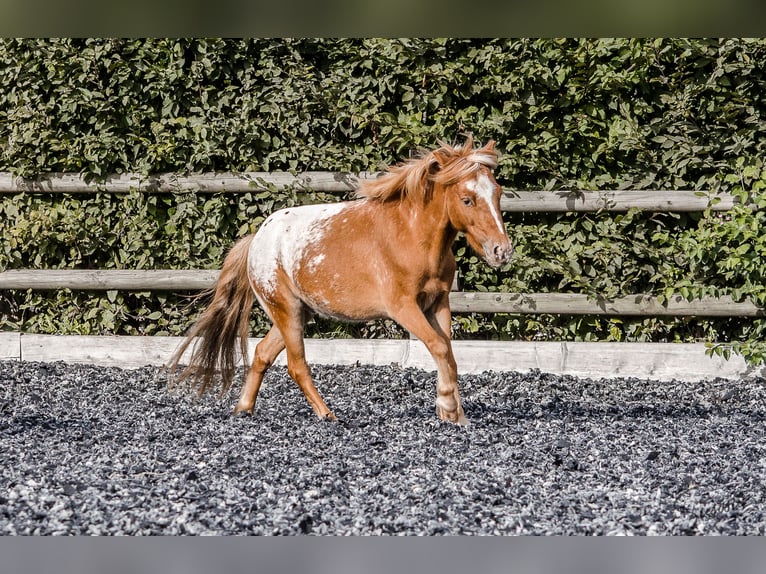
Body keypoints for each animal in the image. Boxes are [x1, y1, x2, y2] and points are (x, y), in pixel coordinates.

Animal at [169, 137, 516, 428]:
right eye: (467, 199)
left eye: (497, 193)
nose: (502, 251)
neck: (412, 235)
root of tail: (256, 240)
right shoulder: (403, 307)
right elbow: (439, 347)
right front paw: (449, 408)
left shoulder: (437, 303)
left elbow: (449, 353)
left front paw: (455, 415)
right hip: (286, 310)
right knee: (296, 364)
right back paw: (327, 415)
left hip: (298, 312)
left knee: (263, 354)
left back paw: (243, 409)